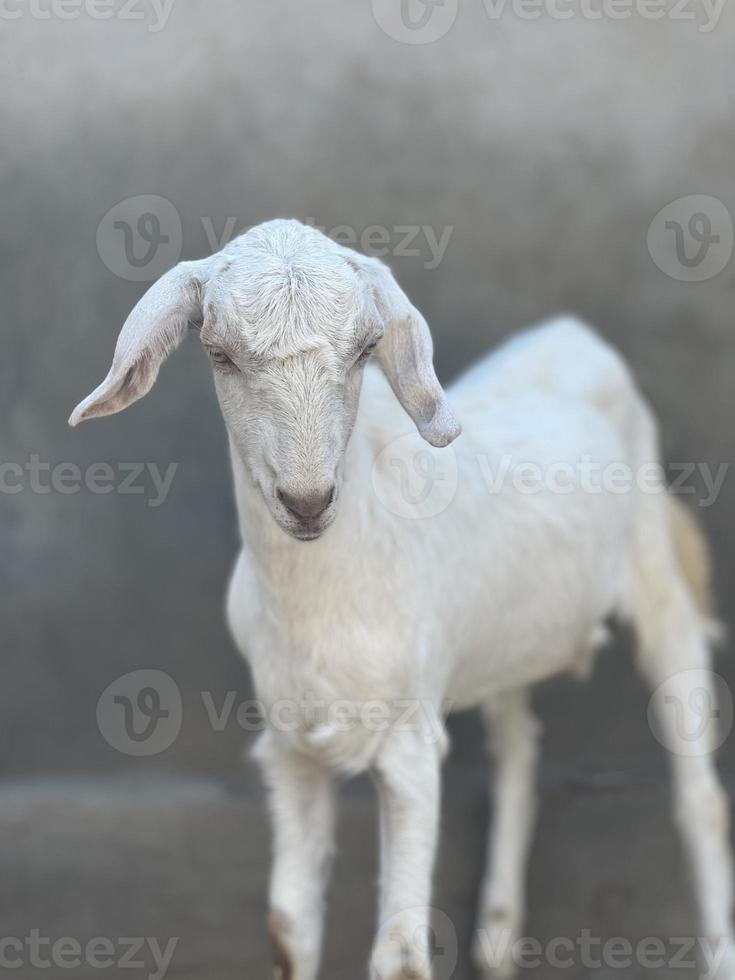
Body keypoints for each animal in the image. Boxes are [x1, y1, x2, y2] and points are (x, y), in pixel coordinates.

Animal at [72, 220, 732, 980]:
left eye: (364, 349)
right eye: (218, 353)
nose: (307, 500)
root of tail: (573, 334)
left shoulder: (410, 748)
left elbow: (402, 952)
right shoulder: (290, 748)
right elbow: (288, 928)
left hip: (658, 584)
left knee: (699, 798)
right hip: (504, 630)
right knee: (518, 749)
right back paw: (497, 934)